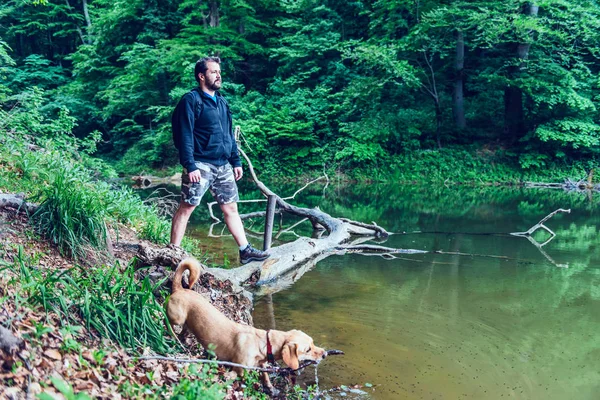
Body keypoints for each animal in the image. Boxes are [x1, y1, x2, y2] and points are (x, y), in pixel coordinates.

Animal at [165, 258, 328, 390]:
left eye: (313, 343)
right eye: (307, 349)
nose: (325, 354)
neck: (264, 343)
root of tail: (179, 288)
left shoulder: (261, 365)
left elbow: (265, 376)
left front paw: (270, 387)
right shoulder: (239, 370)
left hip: (188, 324)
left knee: (183, 331)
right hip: (177, 318)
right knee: (166, 321)